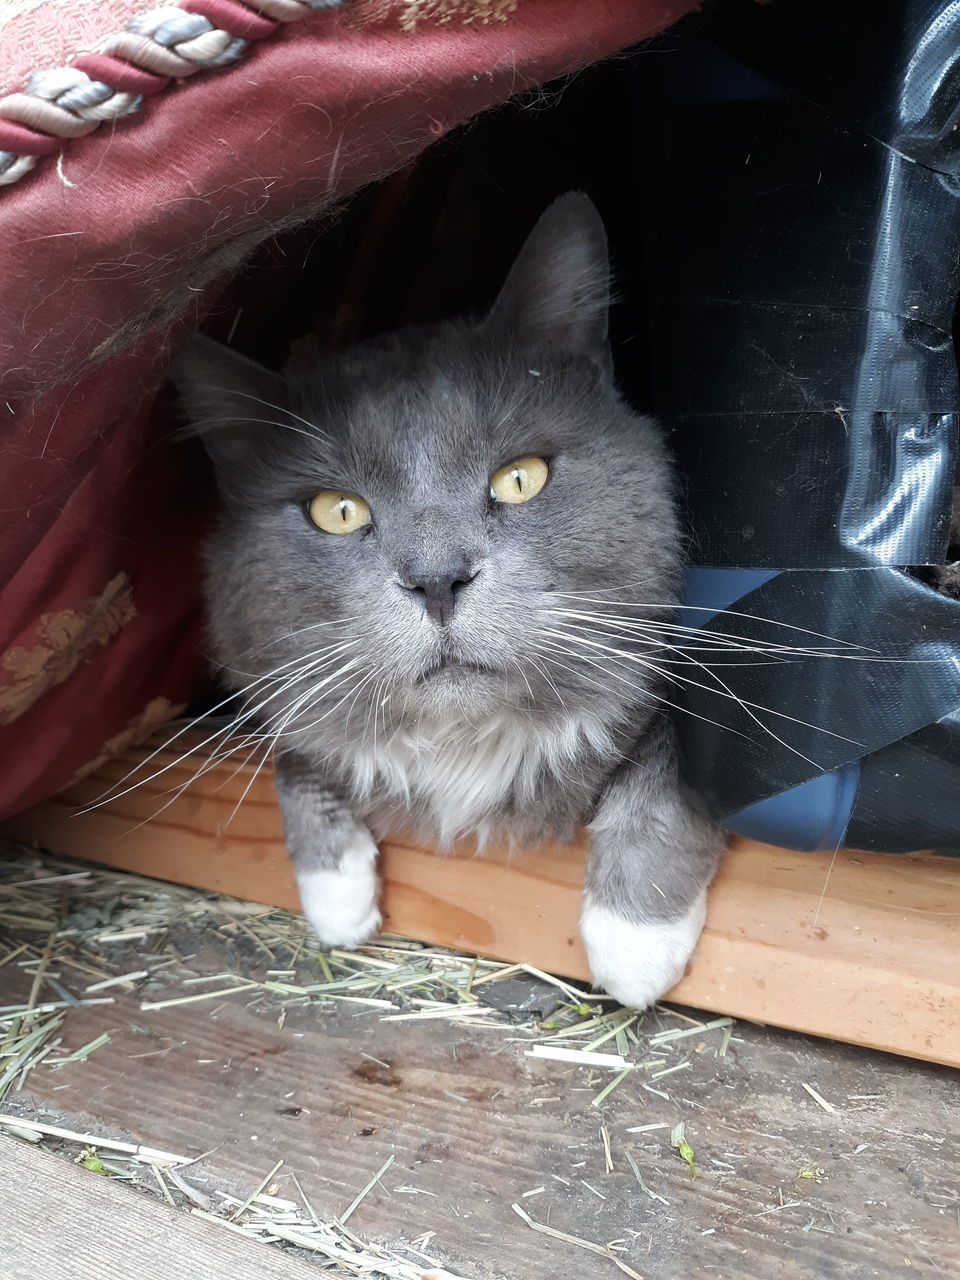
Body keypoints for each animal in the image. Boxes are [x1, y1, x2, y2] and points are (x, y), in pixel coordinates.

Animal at [172, 194, 727, 1008]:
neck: (468, 742)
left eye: (520, 478)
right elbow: (300, 755)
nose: (436, 581)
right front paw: (337, 895)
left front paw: (633, 943)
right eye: (337, 511)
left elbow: (671, 776)